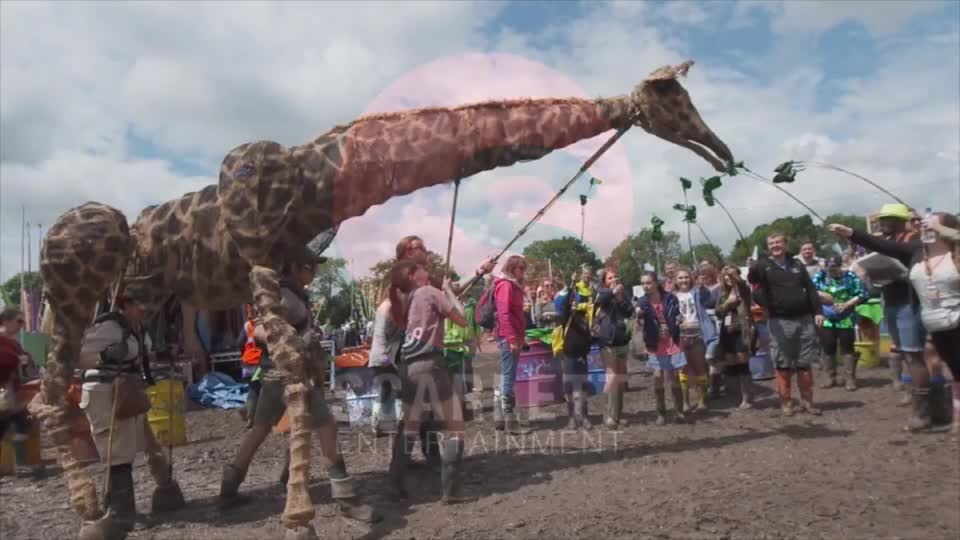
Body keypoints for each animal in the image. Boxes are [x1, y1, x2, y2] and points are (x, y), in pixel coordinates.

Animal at [32, 60, 734, 540]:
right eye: (674, 98)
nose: (721, 149)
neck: (318, 181)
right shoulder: (261, 273)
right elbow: (298, 377)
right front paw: (300, 516)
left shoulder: (289, 280)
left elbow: (307, 384)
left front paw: (333, 492)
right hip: (75, 286)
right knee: (54, 389)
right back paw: (92, 514)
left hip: (145, 298)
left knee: (128, 385)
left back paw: (163, 496)